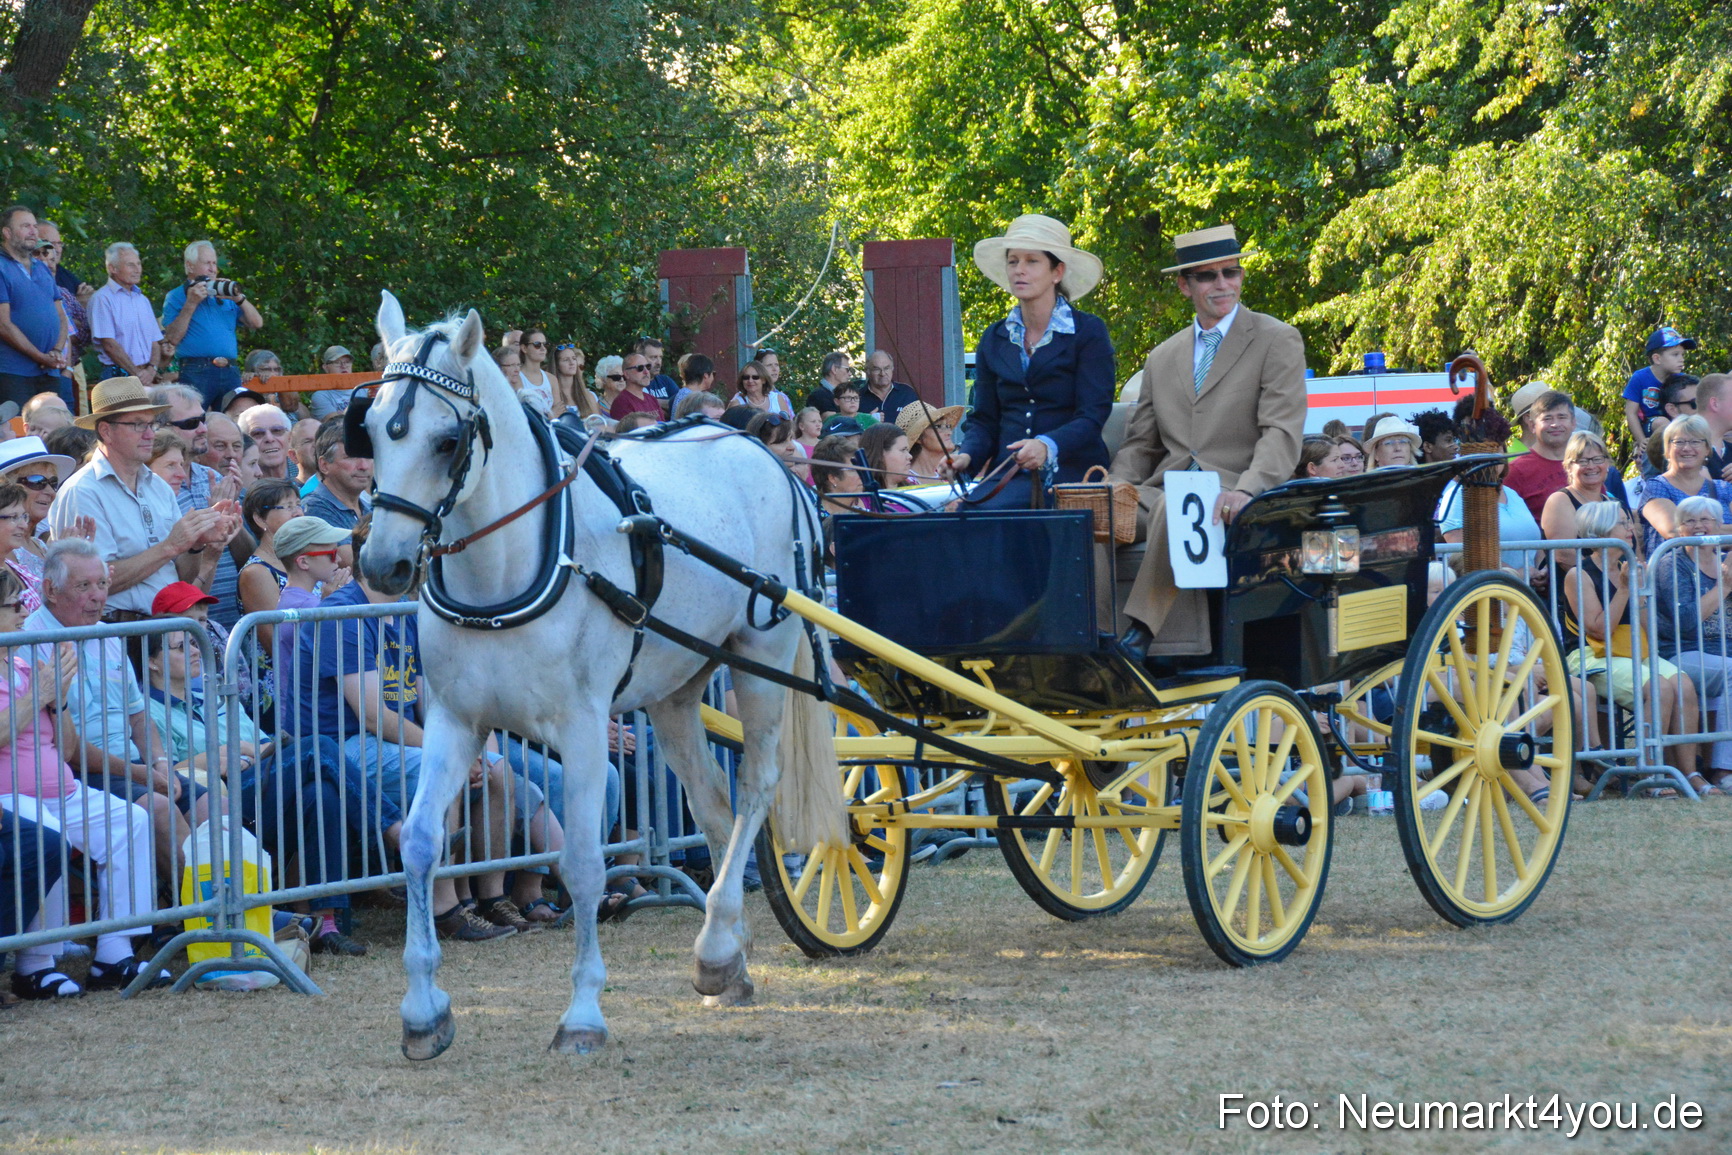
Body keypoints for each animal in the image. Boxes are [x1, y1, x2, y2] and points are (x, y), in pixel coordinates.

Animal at [355, 292, 843, 1058]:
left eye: (446, 441)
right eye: (372, 431)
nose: (383, 566)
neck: (506, 570)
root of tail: (767, 454)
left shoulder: (583, 727)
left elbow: (584, 861)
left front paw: (583, 1012)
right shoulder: (456, 721)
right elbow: (421, 843)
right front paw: (423, 1010)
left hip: (763, 659)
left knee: (756, 785)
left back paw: (718, 943)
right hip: (676, 690)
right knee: (712, 802)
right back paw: (722, 951)